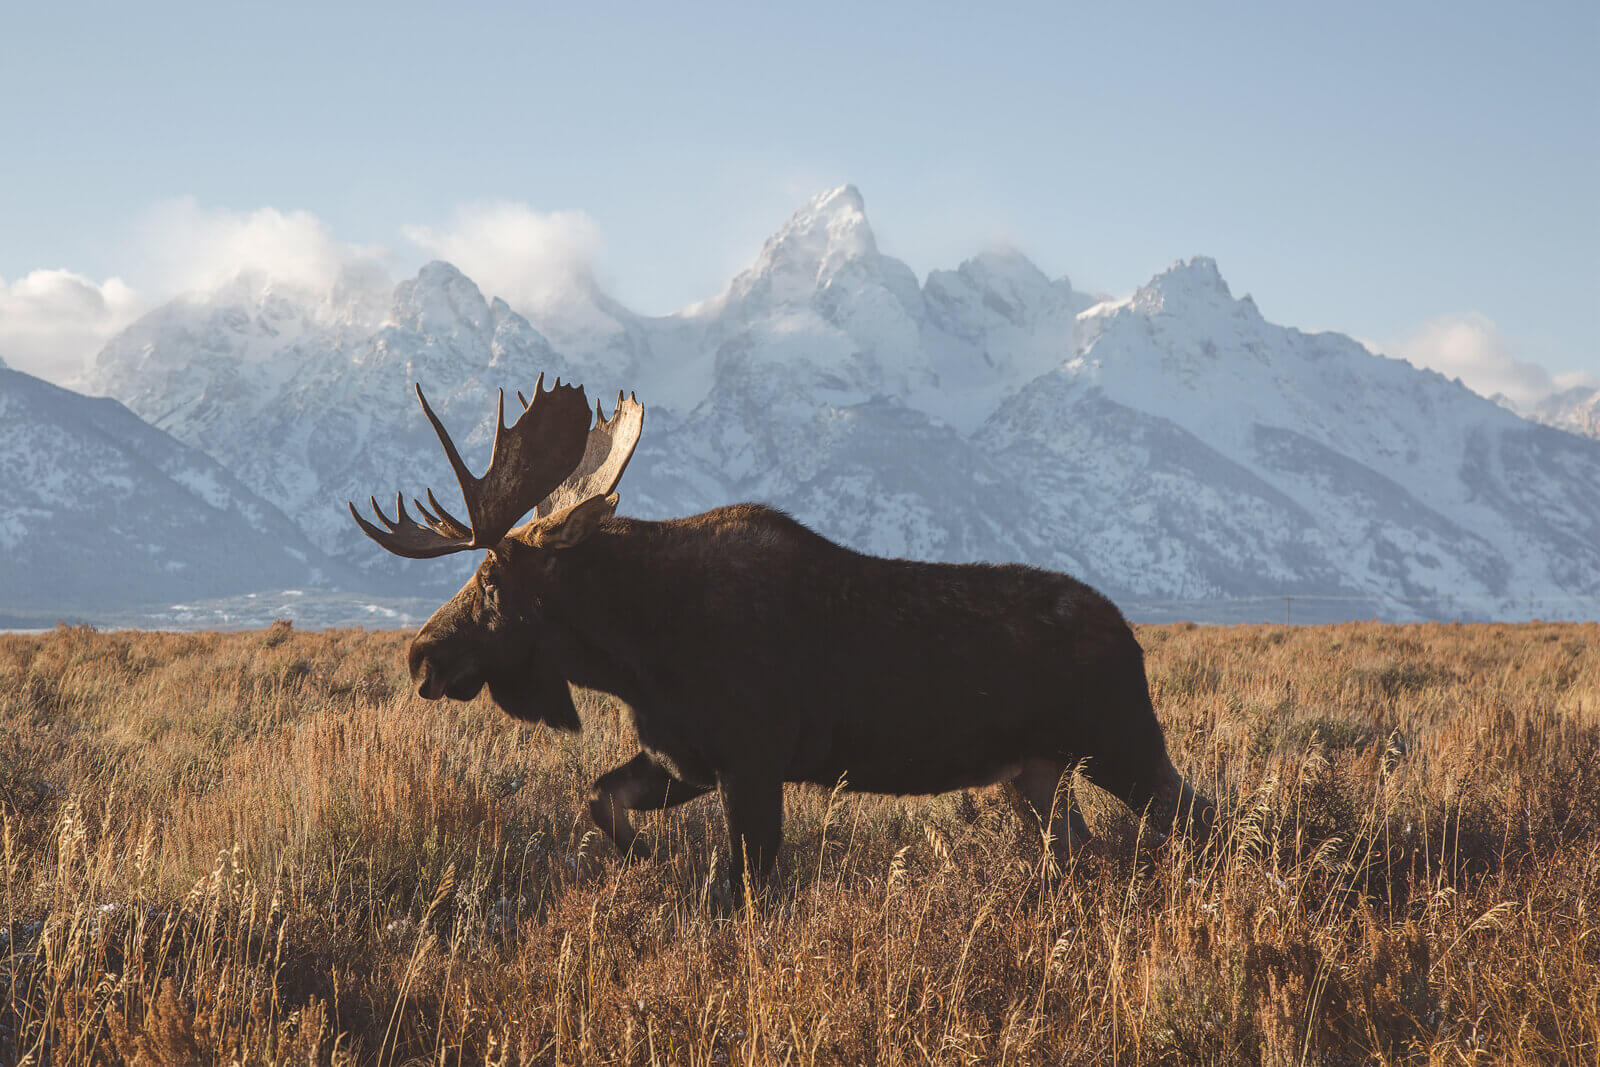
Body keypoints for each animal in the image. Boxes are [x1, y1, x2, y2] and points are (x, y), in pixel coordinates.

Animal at [353, 375, 1209, 902]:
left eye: (494, 580)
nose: (422, 653)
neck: (632, 652)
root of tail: (1130, 635)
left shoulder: (754, 760)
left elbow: (751, 886)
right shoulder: (683, 756)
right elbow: (603, 799)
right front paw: (650, 859)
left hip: (1121, 743)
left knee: (1200, 816)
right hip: (1035, 774)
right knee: (1086, 850)